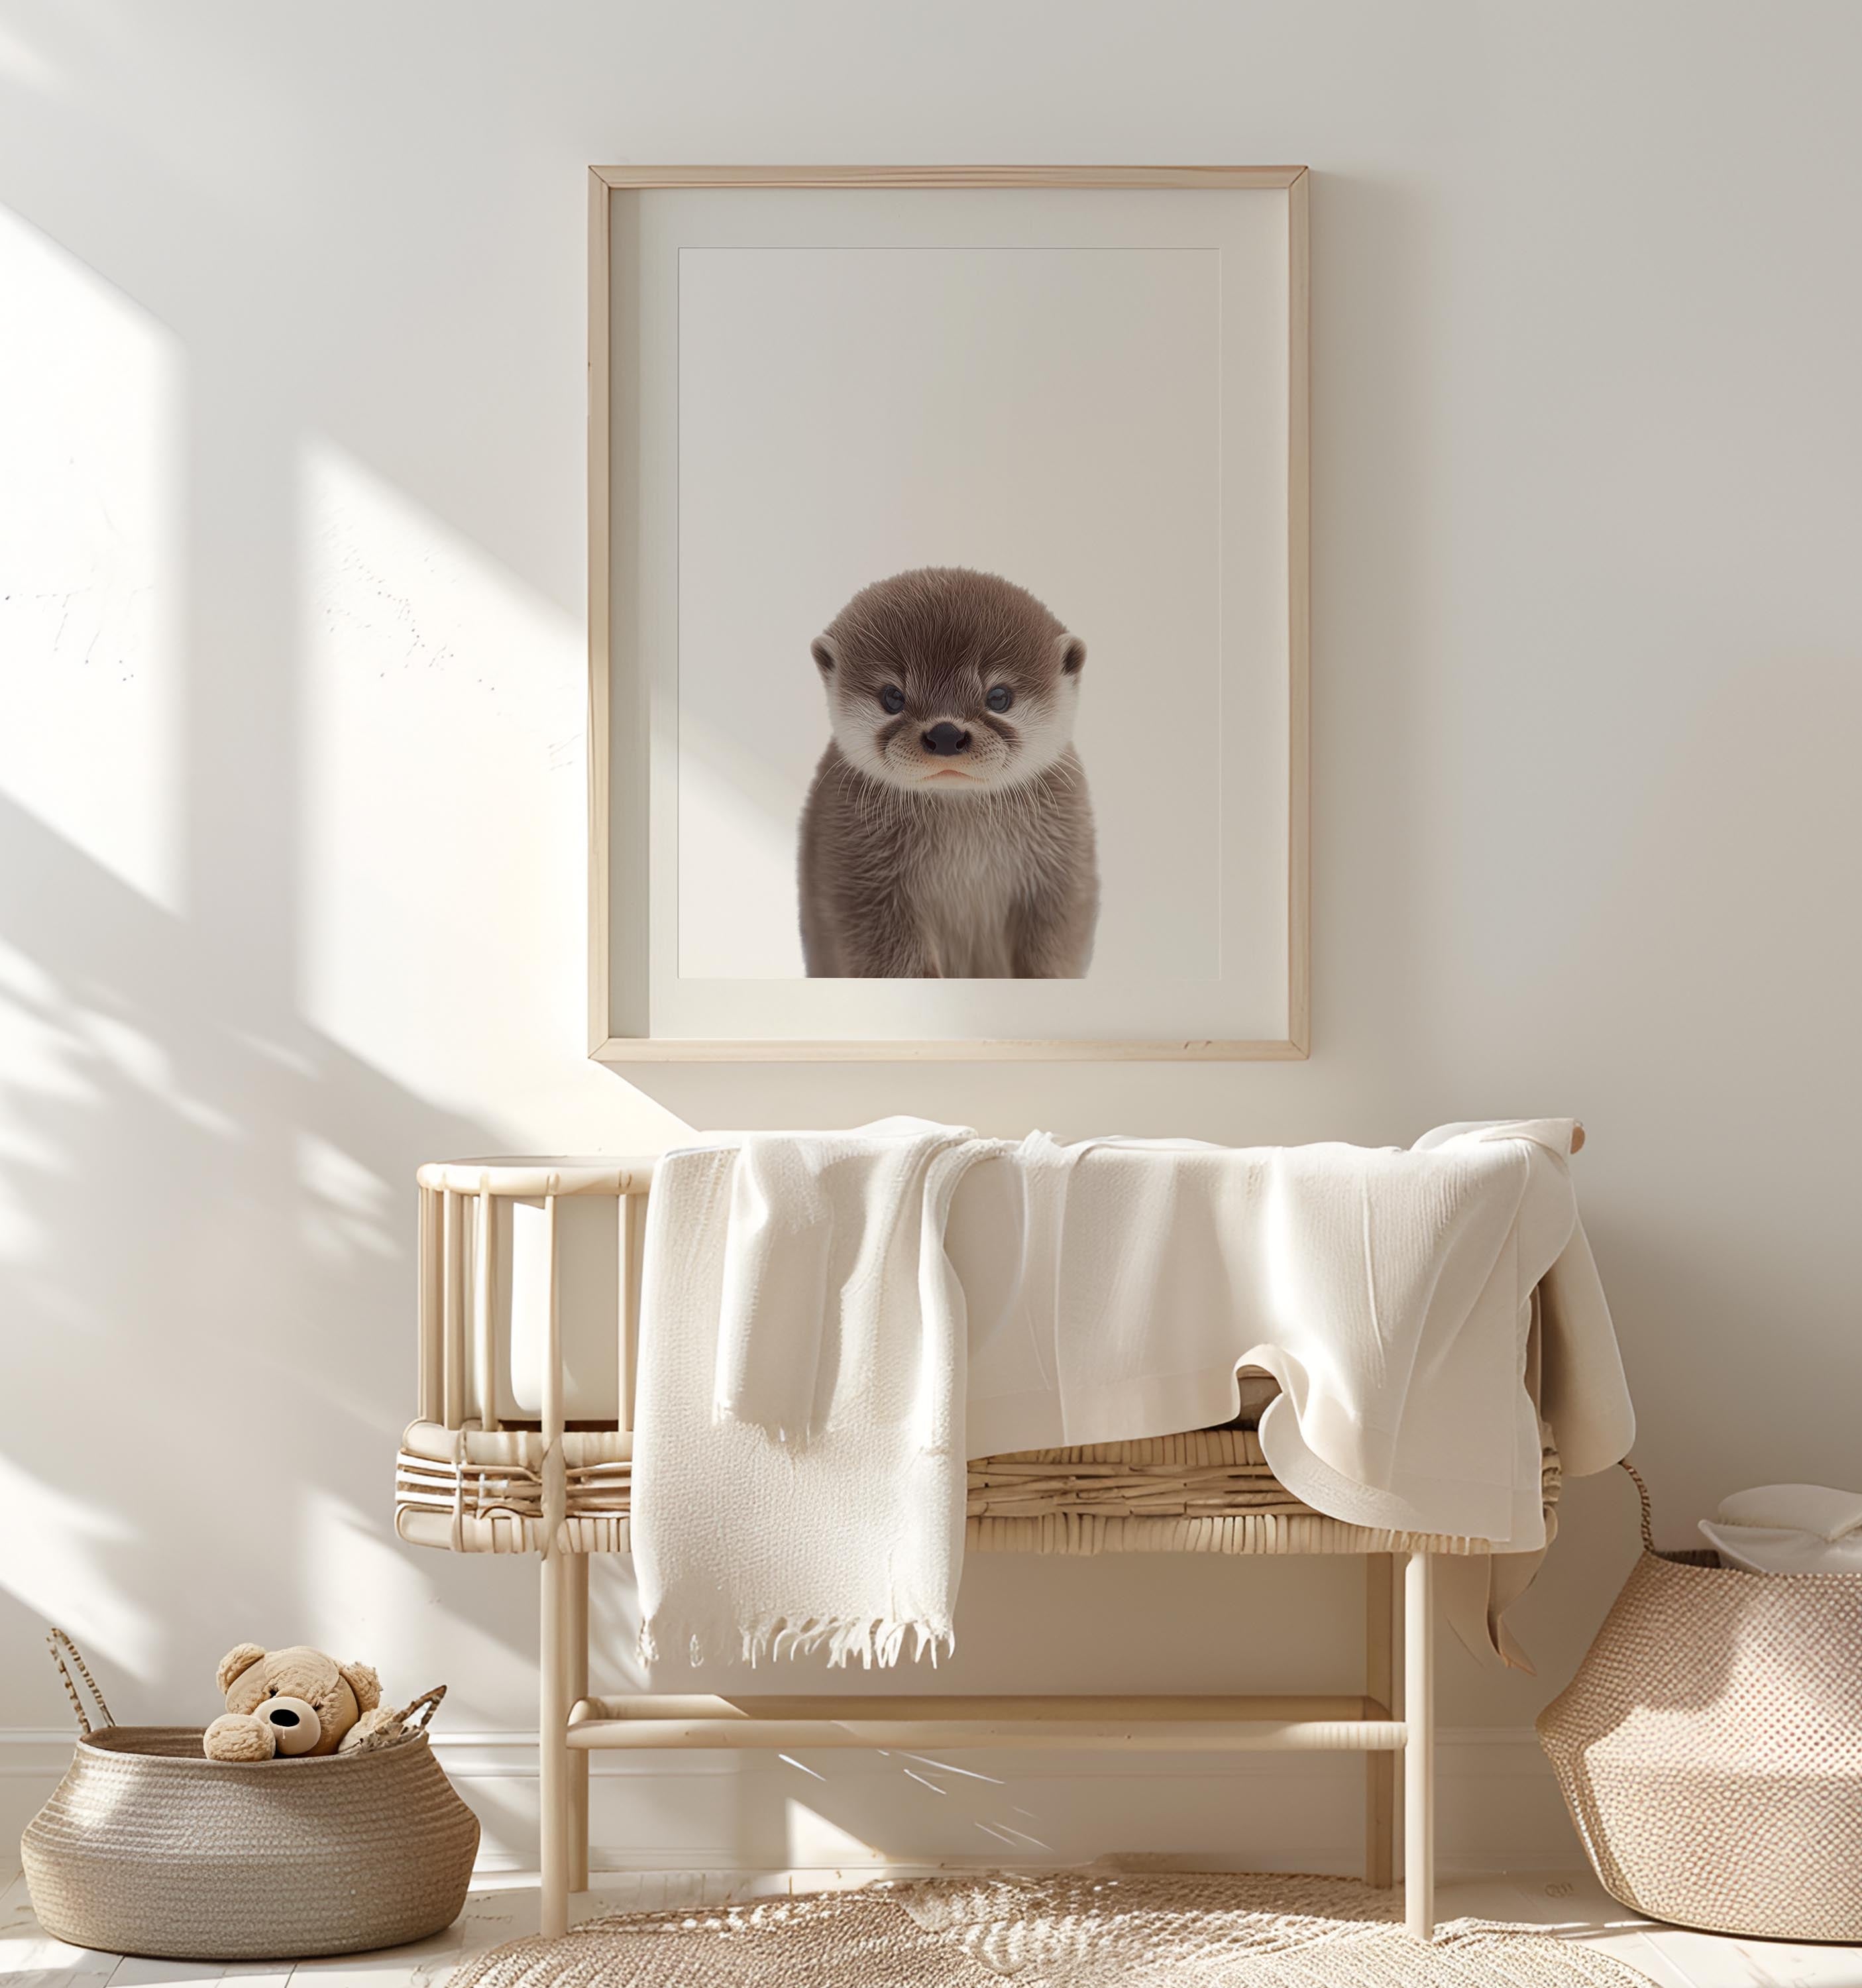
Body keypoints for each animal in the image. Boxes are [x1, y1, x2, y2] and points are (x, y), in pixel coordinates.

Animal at [797, 567, 1098, 978]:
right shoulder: (858, 877)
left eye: (999, 697)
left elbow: (1056, 945)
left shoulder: (1063, 873)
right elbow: (891, 957)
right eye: (892, 697)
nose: (945, 734)